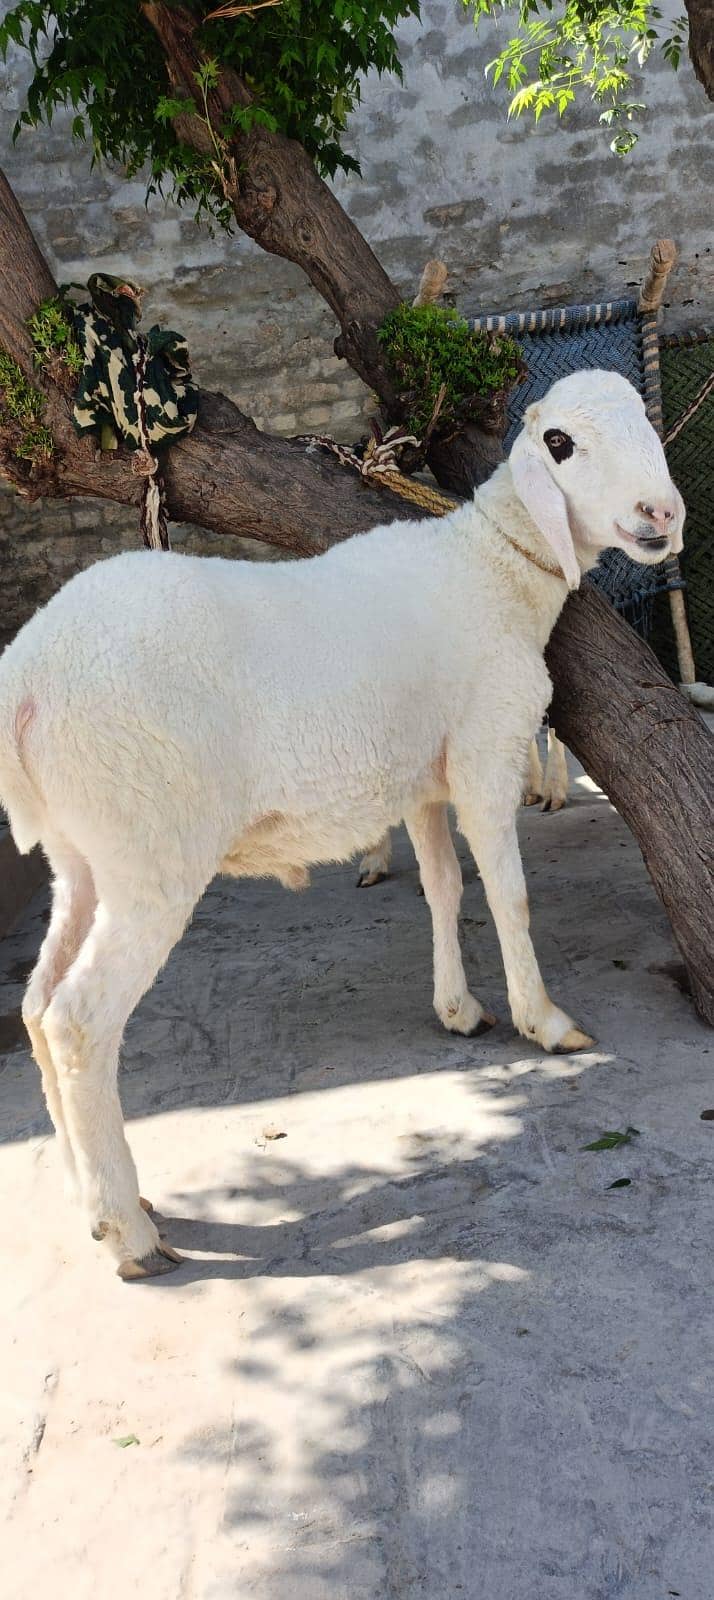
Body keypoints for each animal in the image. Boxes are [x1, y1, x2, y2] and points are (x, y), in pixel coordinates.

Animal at [0, 369, 684, 1279]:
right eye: (561, 443)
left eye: (643, 418)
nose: (661, 514)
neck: (492, 566)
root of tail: (25, 679)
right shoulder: (484, 753)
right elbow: (509, 895)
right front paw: (544, 1021)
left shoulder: (425, 779)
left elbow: (443, 887)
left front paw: (459, 1008)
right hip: (148, 849)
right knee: (78, 1023)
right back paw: (132, 1233)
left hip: (82, 855)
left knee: (37, 1007)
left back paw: (97, 1208)